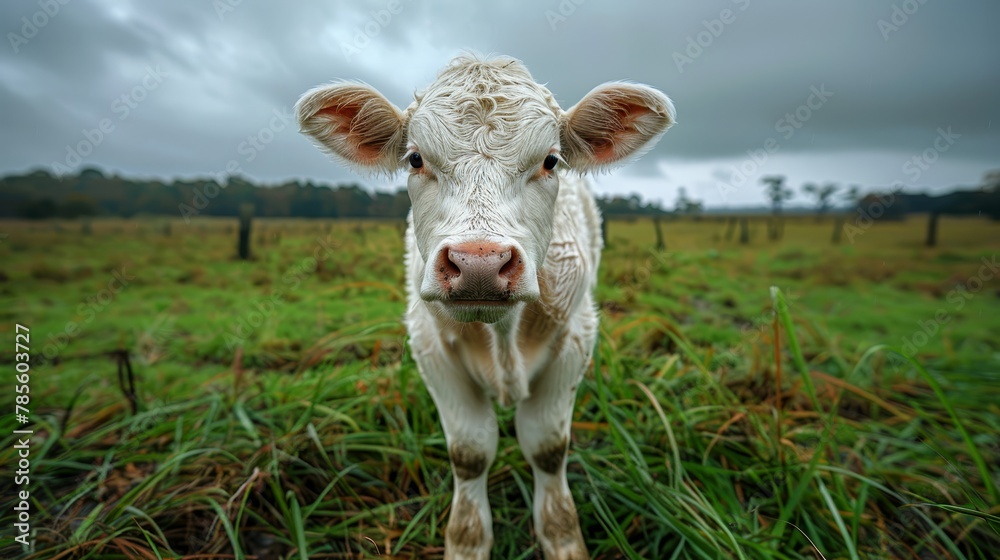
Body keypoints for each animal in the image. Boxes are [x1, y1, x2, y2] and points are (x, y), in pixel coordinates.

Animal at [294, 53, 672, 560]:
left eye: (551, 160)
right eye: (415, 158)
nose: (479, 264)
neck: (503, 336)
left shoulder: (575, 339)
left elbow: (548, 447)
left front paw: (562, 538)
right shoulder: (431, 348)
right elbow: (469, 453)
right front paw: (467, 540)